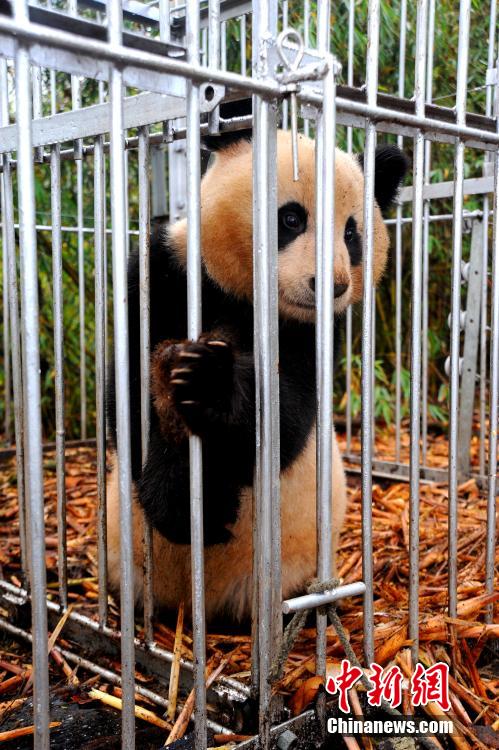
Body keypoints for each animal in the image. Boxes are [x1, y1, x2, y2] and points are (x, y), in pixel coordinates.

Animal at [106, 121, 407, 624]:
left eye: (351, 233)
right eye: (292, 219)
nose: (331, 286)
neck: (244, 296)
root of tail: (197, 609)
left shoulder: (312, 333)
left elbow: (285, 420)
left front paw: (211, 384)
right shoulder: (165, 270)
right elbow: (129, 397)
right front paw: (184, 497)